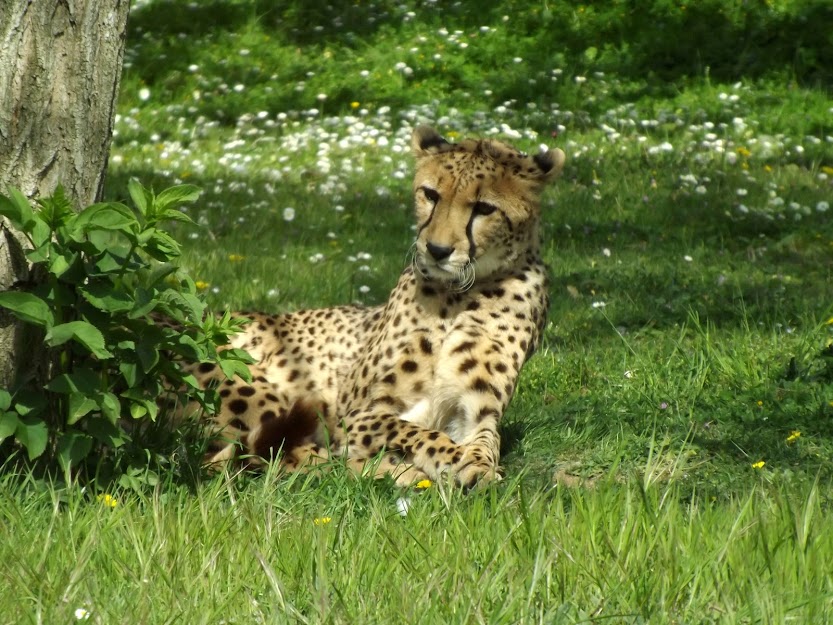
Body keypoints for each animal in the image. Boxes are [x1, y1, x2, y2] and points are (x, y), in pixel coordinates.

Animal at [191, 125, 564, 488]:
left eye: (484, 208)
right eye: (431, 194)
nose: (437, 250)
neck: (458, 296)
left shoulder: (475, 412)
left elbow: (486, 442)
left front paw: (475, 465)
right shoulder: (359, 416)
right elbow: (415, 432)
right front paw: (449, 461)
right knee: (278, 459)